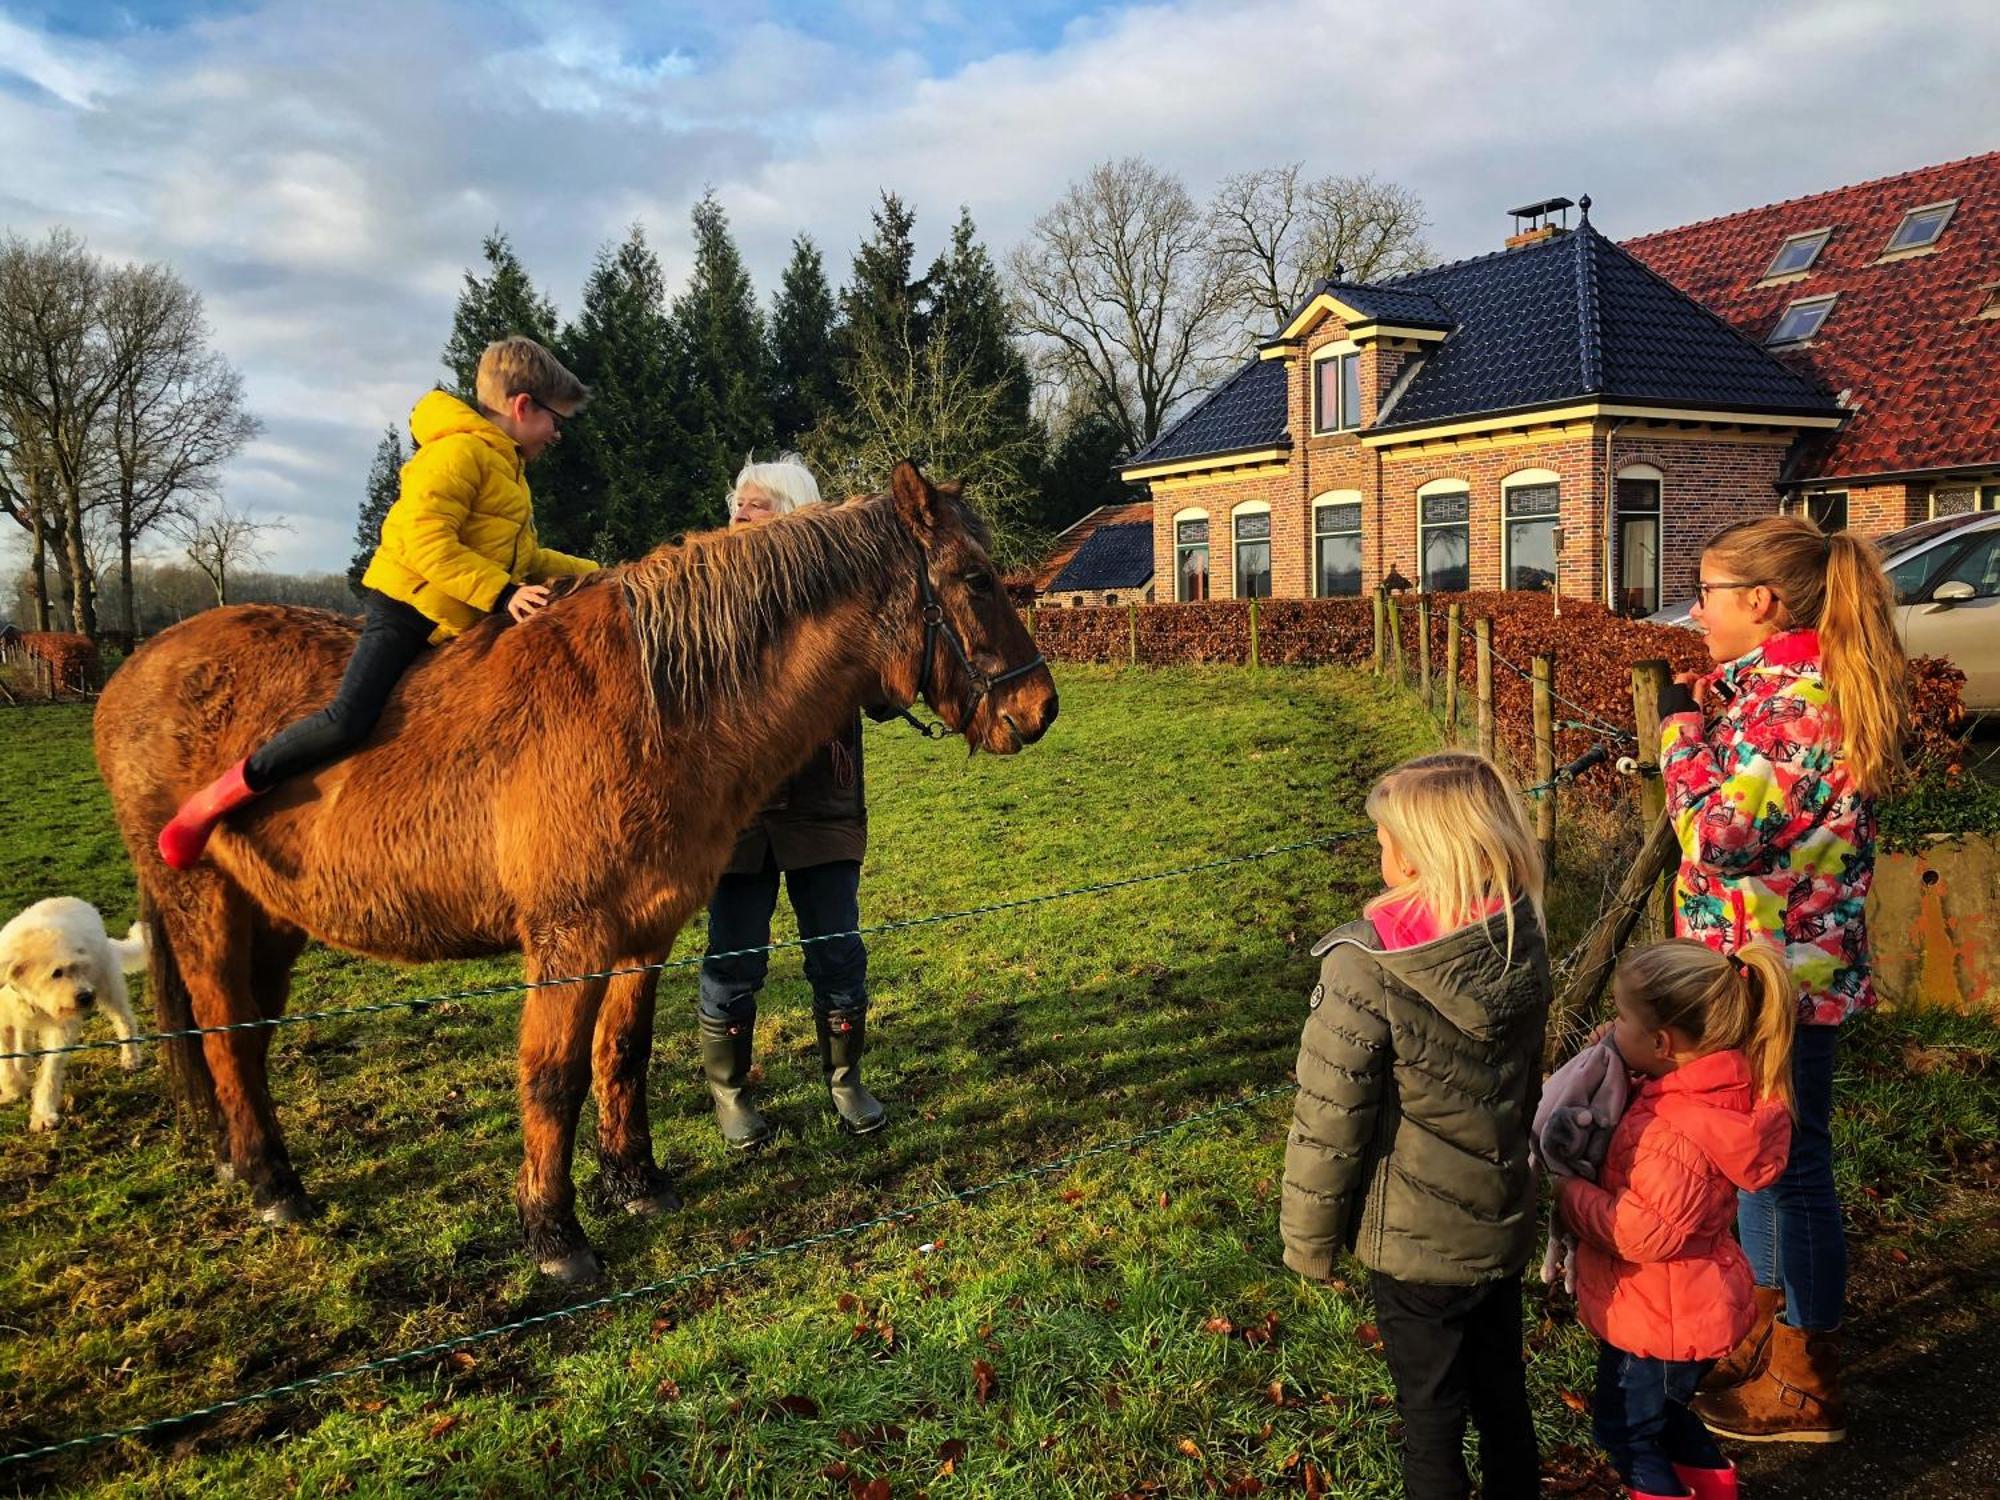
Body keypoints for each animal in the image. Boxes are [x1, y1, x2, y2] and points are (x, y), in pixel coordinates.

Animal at [1, 900, 147, 1136]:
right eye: (56, 973)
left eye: (81, 968)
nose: (87, 996)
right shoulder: (5, 1020)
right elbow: (6, 1060)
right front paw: (12, 1088)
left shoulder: (61, 1029)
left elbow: (50, 1070)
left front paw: (43, 1113)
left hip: (110, 990)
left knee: (125, 1021)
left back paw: (130, 1057)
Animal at [90, 468, 1064, 1280]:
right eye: (974, 579)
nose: (1040, 706)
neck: (653, 702)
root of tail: (133, 669)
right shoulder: (571, 938)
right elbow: (554, 1078)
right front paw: (554, 1235)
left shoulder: (646, 928)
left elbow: (622, 1054)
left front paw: (636, 1181)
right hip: (204, 904)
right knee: (222, 1030)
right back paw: (271, 1184)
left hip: (272, 918)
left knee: (244, 1037)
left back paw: (245, 1160)